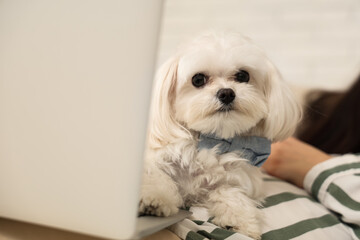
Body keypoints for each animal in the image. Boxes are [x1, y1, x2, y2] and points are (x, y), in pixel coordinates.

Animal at [139, 32, 300, 240]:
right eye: (198, 79)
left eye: (243, 76)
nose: (226, 93)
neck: (213, 139)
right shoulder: (156, 158)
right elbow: (157, 176)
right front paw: (156, 199)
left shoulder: (235, 177)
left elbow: (229, 191)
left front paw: (239, 218)